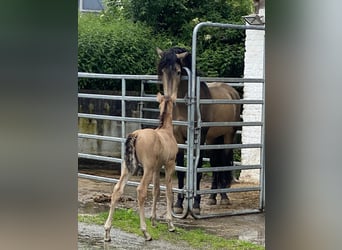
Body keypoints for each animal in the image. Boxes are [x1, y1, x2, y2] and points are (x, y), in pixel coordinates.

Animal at [103, 93, 179, 241]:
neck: (166, 131)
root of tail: (135, 135)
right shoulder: (169, 164)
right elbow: (169, 192)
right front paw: (170, 224)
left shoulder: (157, 168)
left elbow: (156, 191)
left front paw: (154, 221)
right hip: (147, 169)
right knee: (141, 191)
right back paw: (145, 232)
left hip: (128, 168)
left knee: (117, 190)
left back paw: (107, 232)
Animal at [157, 47, 240, 215]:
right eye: (162, 71)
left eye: (178, 71)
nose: (168, 99)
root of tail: (231, 91)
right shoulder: (179, 138)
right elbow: (181, 170)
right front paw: (179, 204)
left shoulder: (199, 138)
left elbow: (199, 168)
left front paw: (195, 204)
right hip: (213, 139)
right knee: (215, 163)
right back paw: (213, 198)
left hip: (228, 136)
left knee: (223, 162)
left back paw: (224, 197)